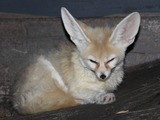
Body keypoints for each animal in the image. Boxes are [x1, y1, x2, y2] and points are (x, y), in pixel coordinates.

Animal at [13, 7, 141, 114]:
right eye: (92, 61)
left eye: (110, 60)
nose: (102, 76)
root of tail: (18, 104)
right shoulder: (74, 88)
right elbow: (89, 93)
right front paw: (101, 96)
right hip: (50, 72)